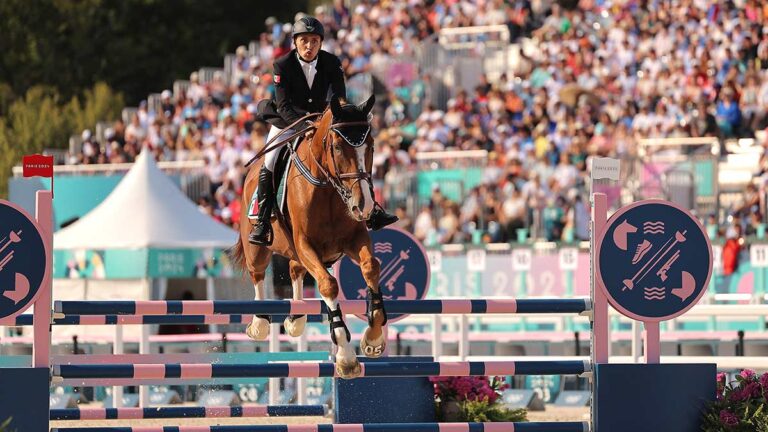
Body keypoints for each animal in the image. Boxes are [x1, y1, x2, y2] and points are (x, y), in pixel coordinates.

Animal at [226, 95, 384, 378]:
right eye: (337, 147)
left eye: (371, 146)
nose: (363, 206)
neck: (330, 188)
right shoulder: (305, 244)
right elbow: (328, 285)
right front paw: (346, 357)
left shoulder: (354, 238)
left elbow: (370, 267)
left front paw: (374, 338)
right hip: (258, 248)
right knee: (258, 274)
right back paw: (260, 324)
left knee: (294, 269)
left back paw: (296, 318)